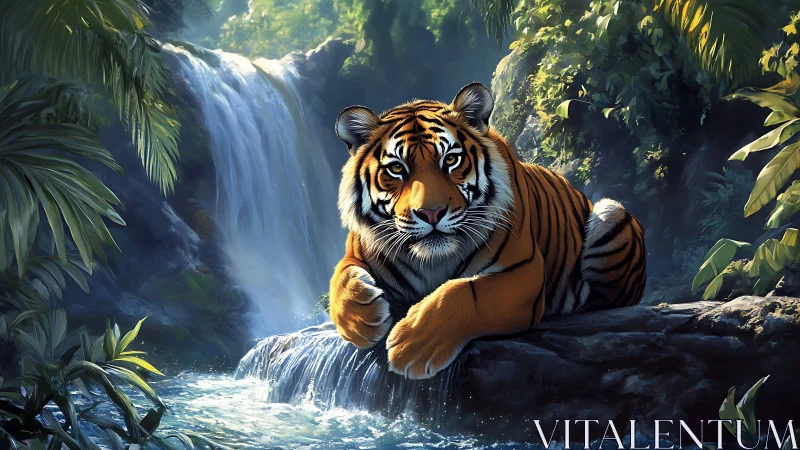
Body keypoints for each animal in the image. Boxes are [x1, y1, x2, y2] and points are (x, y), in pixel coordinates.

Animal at [329, 82, 646, 379]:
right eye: (396, 168)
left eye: (451, 160)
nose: (431, 212)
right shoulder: (354, 254)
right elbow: (340, 280)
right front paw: (362, 321)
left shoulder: (523, 271)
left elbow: (464, 292)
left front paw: (412, 345)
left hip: (611, 213)